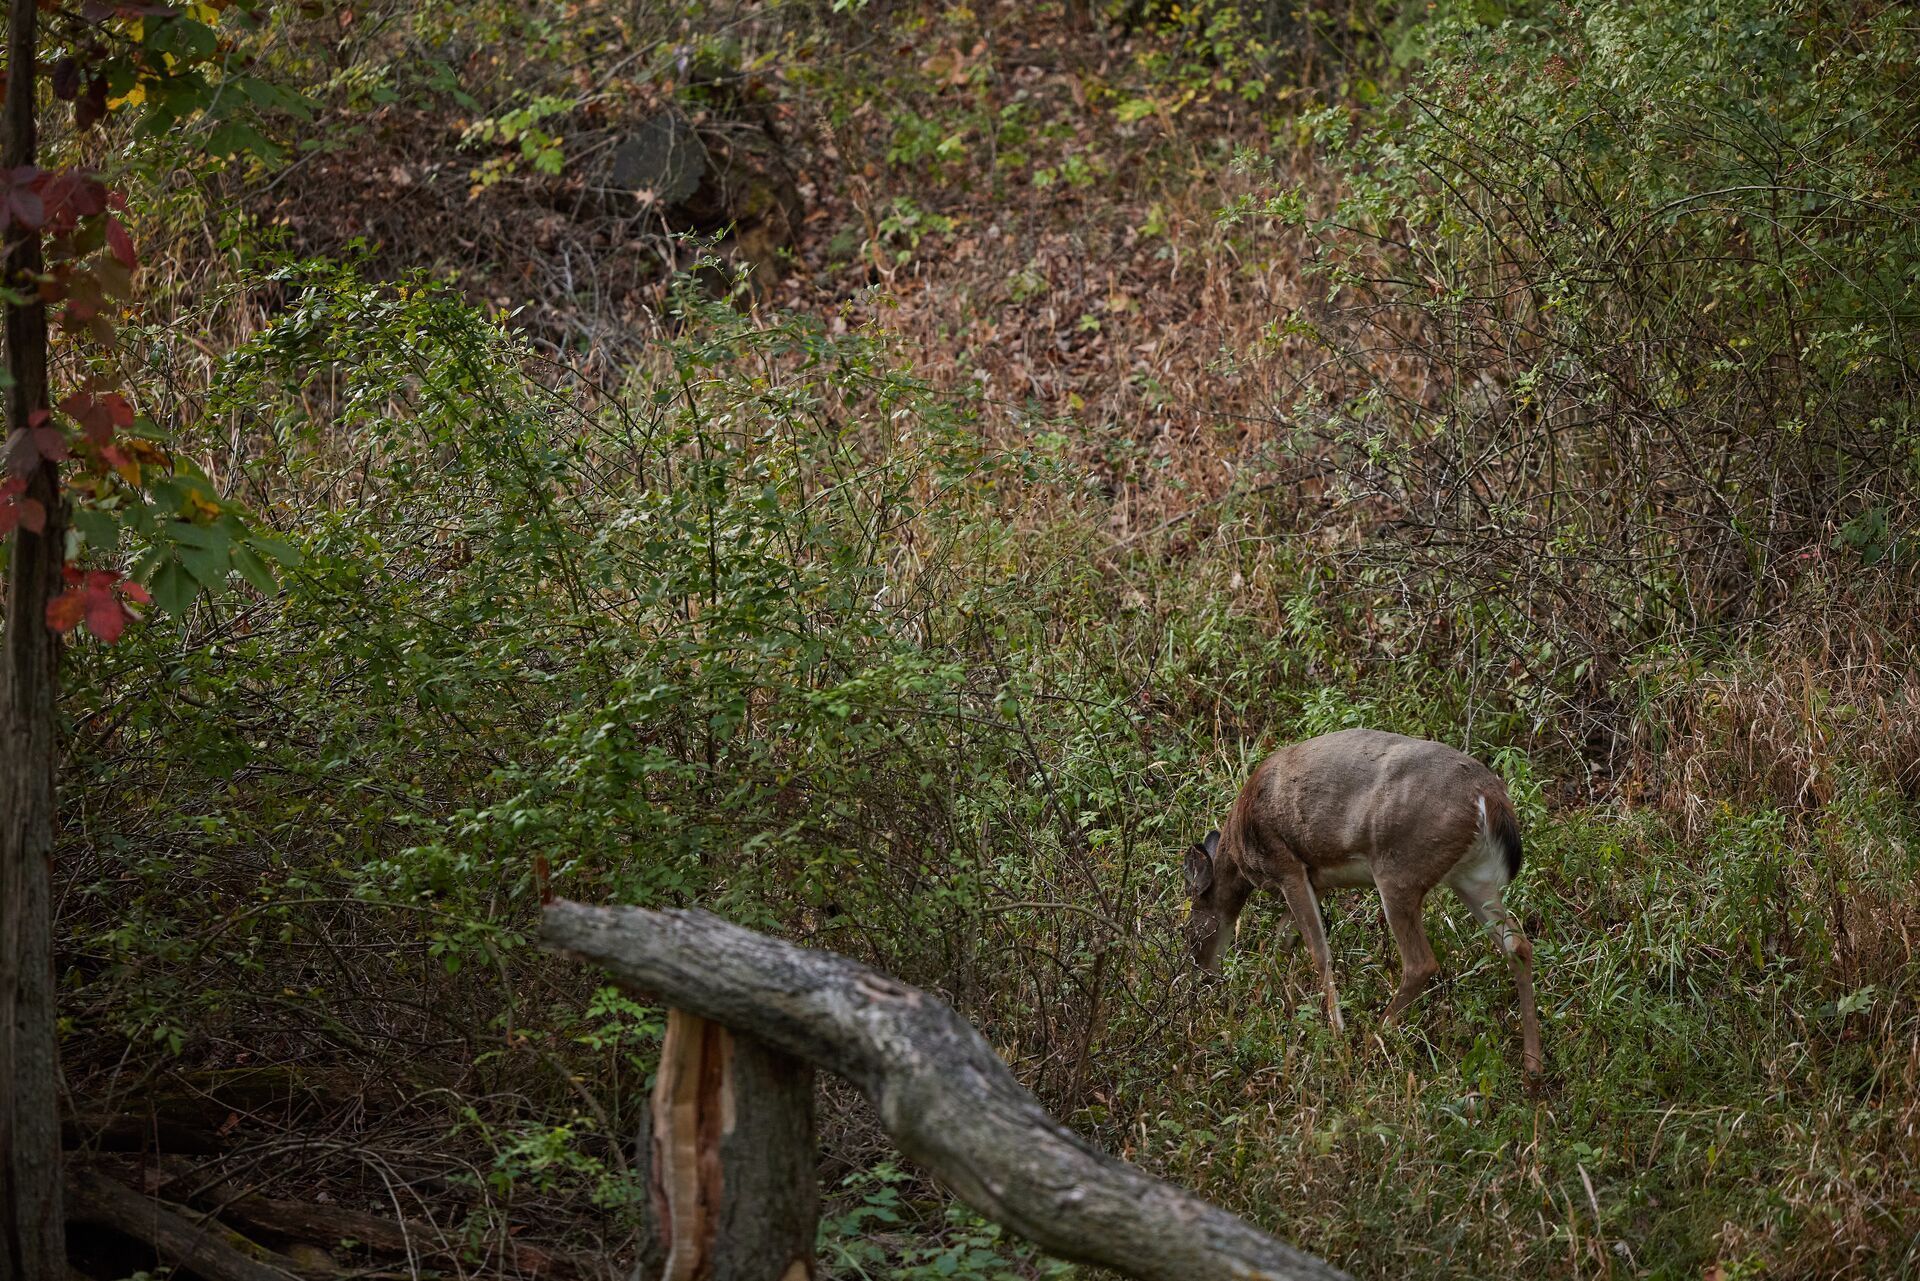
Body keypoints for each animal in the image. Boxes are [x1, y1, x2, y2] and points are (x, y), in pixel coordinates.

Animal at [1182, 727, 1542, 1081]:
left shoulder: (1285, 865)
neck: (1238, 849)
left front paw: (1336, 1033)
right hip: (1471, 877)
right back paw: (1532, 1063)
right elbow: (1280, 943)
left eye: (1189, 932)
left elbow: (1317, 952)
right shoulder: (1316, 880)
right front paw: (1258, 1000)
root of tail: (1488, 797)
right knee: (1518, 945)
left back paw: (1373, 1040)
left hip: (1399, 870)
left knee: (1421, 962)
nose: (1201, 977)